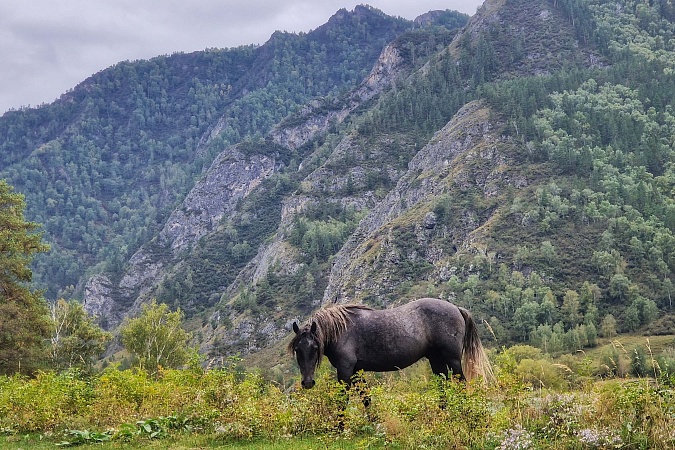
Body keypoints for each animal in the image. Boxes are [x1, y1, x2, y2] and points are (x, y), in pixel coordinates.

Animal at [288, 298, 494, 392]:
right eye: (298, 350)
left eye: (315, 348)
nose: (307, 382)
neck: (342, 329)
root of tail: (456, 308)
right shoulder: (355, 370)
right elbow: (365, 397)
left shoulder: (345, 370)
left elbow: (343, 398)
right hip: (436, 361)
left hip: (452, 360)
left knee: (460, 383)